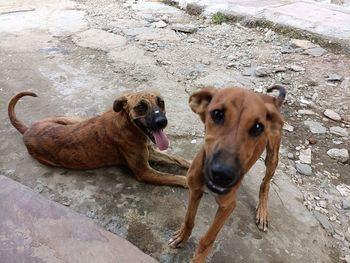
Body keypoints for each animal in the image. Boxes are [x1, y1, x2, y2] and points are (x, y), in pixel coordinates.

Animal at [8, 91, 189, 188]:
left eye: (161, 102)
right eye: (141, 107)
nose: (162, 122)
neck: (127, 123)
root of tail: (27, 130)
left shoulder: (150, 152)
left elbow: (179, 159)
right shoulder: (144, 171)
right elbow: (177, 177)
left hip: (72, 119)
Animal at [170, 85, 288, 262]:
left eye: (258, 127)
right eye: (217, 114)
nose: (223, 175)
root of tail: (273, 99)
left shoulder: (228, 206)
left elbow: (207, 239)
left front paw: (198, 258)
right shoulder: (194, 190)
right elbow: (189, 219)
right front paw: (182, 236)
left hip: (272, 156)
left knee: (265, 183)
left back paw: (262, 212)